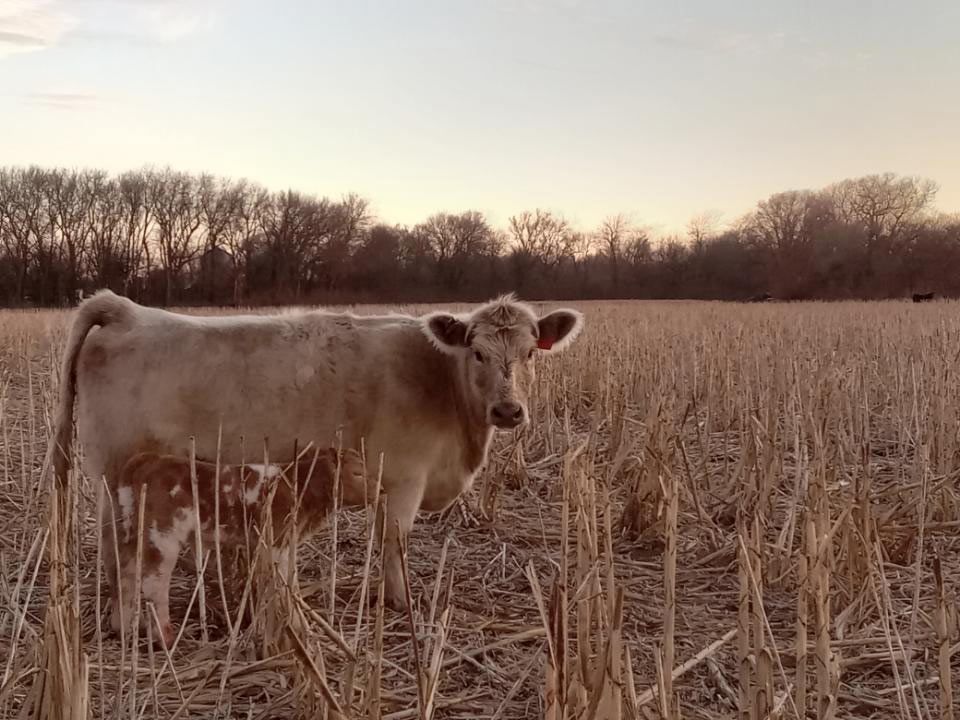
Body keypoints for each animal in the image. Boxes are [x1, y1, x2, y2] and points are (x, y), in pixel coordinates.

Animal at [50, 291, 584, 610]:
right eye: (477, 353)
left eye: (530, 353)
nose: (508, 411)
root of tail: (125, 308)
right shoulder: (404, 479)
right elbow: (394, 544)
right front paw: (401, 603)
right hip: (113, 470)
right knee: (114, 543)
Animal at [111, 447, 370, 645]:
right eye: (357, 473)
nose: (377, 492)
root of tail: (150, 459)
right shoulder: (276, 542)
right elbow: (281, 584)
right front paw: (294, 626)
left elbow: (286, 582)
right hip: (163, 536)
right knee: (154, 582)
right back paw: (165, 637)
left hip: (131, 531)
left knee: (126, 573)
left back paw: (124, 629)